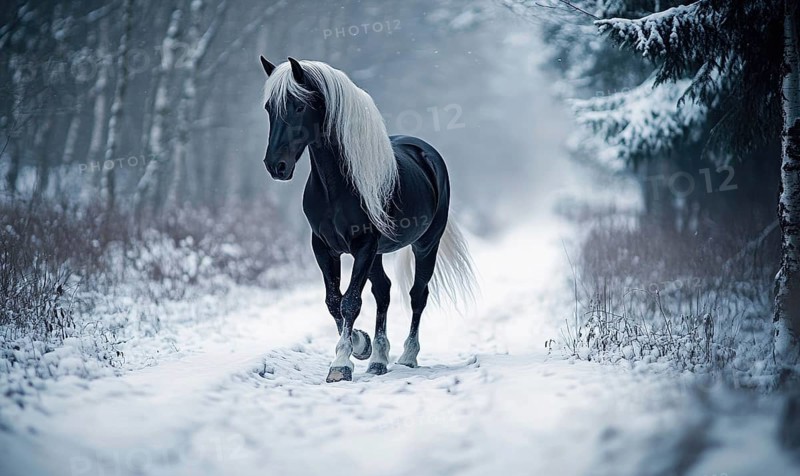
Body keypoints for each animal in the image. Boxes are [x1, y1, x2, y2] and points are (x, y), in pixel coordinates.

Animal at [259, 56, 476, 382]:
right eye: (269, 107)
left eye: (298, 106)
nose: (276, 166)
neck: (337, 187)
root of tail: (426, 153)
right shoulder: (323, 247)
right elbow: (334, 301)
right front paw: (361, 346)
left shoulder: (364, 245)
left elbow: (350, 301)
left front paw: (341, 363)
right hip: (378, 254)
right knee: (383, 291)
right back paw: (378, 359)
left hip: (425, 244)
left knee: (417, 294)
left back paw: (408, 356)